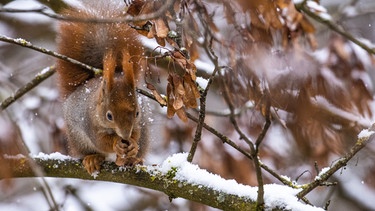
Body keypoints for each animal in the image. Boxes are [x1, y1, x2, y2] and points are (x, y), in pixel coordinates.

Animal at [55, 1, 148, 174]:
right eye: (109, 116)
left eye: (137, 113)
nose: (125, 135)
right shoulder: (89, 123)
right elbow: (101, 141)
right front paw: (116, 143)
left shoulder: (140, 122)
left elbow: (136, 133)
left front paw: (132, 144)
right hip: (78, 140)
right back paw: (92, 159)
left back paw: (133, 159)